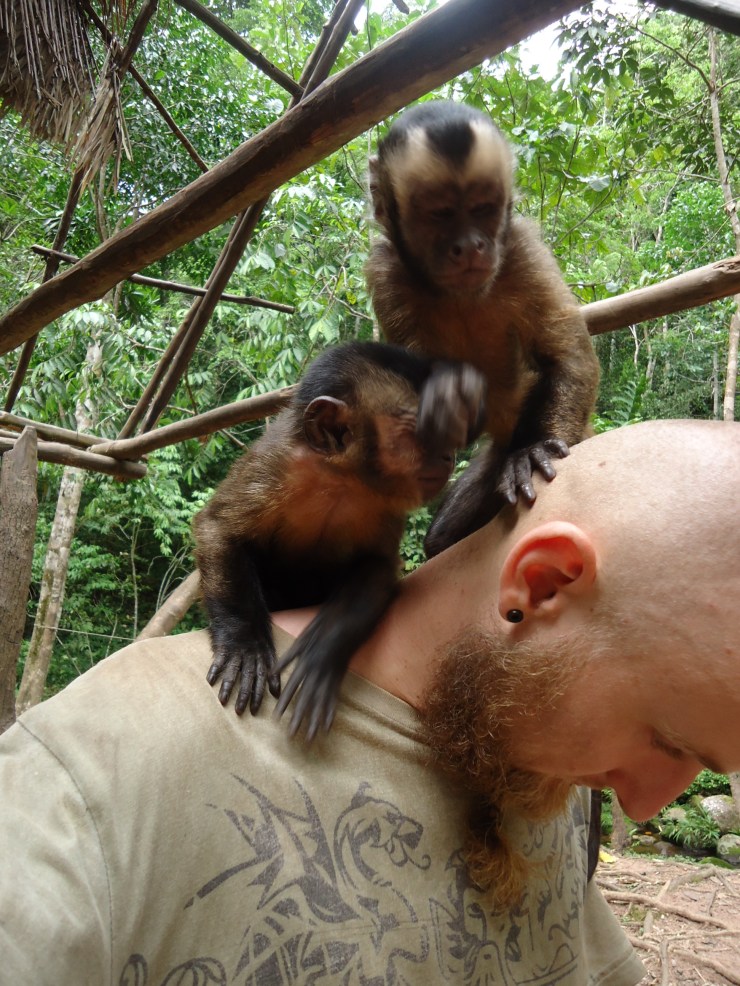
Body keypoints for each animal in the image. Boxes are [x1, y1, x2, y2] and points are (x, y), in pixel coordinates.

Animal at [193, 340, 486, 740]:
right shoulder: (275, 463)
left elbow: (378, 566)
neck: (341, 479)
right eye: (422, 432)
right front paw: (244, 642)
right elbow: (217, 527)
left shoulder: (384, 501)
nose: (448, 455)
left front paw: (323, 647)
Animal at [366, 100, 600, 557]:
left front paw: (537, 451)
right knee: (440, 538)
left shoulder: (522, 248)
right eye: (438, 212)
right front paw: (446, 397)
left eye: (483, 207)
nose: (471, 245)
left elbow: (567, 357)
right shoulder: (385, 273)